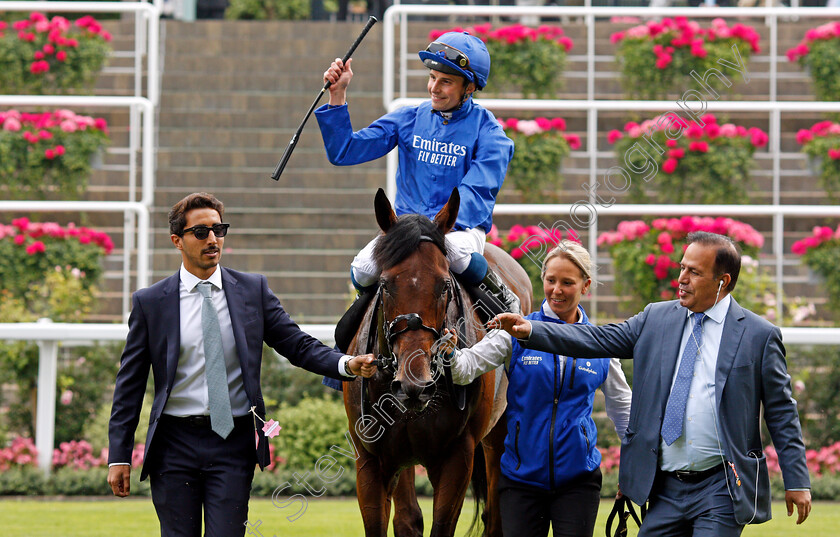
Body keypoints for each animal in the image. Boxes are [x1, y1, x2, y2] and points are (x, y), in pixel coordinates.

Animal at [342, 188, 532, 536]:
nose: (414, 384)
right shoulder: (371, 460)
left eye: (444, 285)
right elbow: (399, 521)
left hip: (499, 438)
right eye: (385, 284)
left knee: (495, 516)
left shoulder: (457, 455)